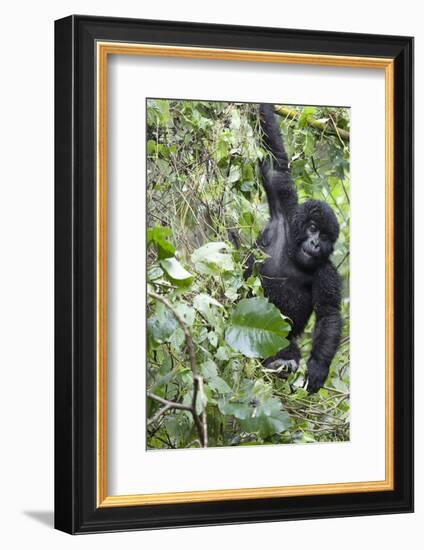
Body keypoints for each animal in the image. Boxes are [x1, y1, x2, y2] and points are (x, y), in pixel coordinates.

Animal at [247, 103, 342, 394]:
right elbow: (275, 164)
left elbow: (329, 314)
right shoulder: (285, 208)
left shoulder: (327, 272)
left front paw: (318, 367)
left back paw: (281, 363)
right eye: (312, 228)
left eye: (325, 236)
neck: (292, 251)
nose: (315, 243)